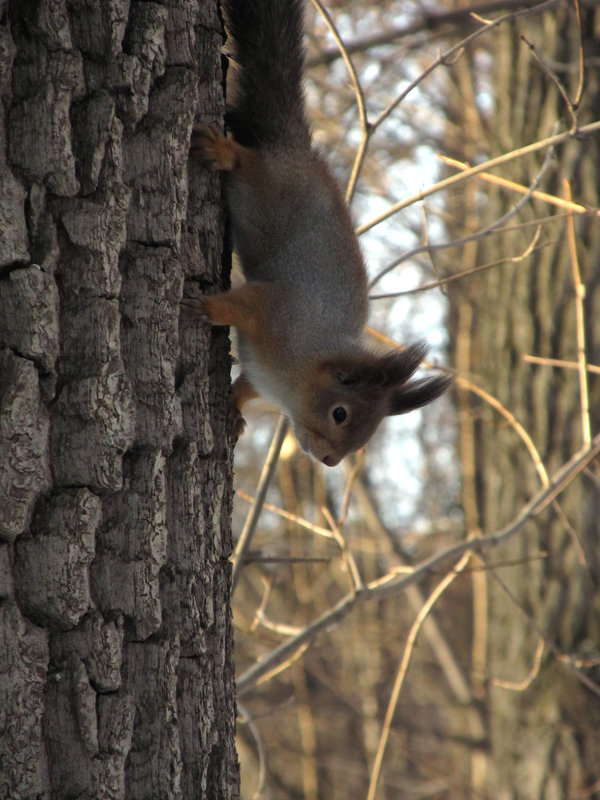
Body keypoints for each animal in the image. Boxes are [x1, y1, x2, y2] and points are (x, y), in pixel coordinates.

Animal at [183, 0, 450, 468]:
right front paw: (208, 308)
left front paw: (234, 409)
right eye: (340, 413)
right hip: (265, 187)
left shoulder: (262, 373)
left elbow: (246, 386)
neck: (298, 374)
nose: (330, 461)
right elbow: (244, 303)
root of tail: (294, 148)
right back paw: (222, 150)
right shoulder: (278, 311)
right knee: (246, 161)